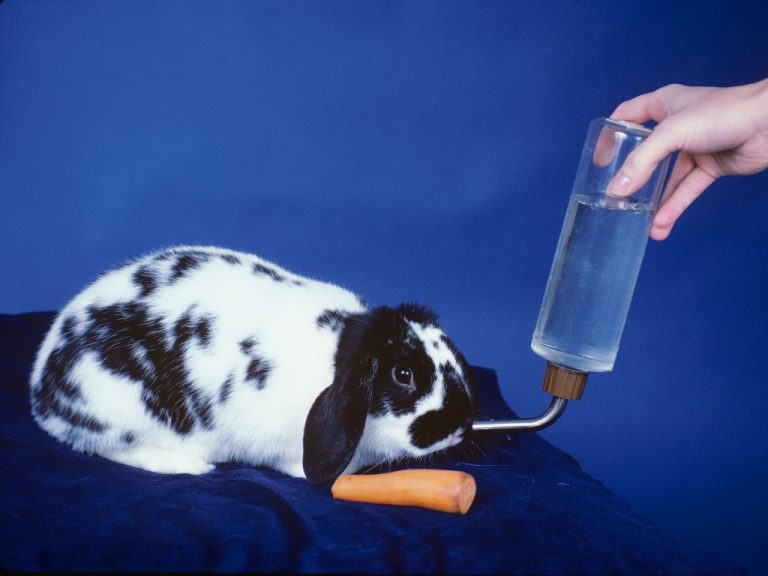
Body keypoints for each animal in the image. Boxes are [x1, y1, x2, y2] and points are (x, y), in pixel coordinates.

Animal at [29, 245, 476, 484]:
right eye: (403, 374)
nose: (460, 425)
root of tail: (41, 390)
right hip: (116, 404)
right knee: (109, 448)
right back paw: (185, 464)